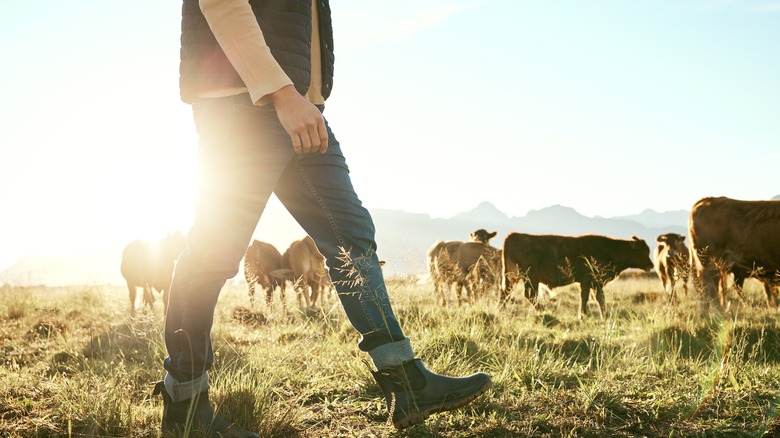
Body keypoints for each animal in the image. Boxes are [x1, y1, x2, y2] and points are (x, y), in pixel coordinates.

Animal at [500, 234, 652, 320]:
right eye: (643, 251)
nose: (651, 265)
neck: (610, 249)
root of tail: (513, 235)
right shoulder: (592, 282)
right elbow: (596, 298)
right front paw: (596, 316)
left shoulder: (588, 283)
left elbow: (589, 298)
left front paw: (586, 316)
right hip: (529, 278)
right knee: (529, 295)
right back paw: (544, 311)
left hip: (514, 278)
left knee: (506, 293)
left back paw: (501, 311)